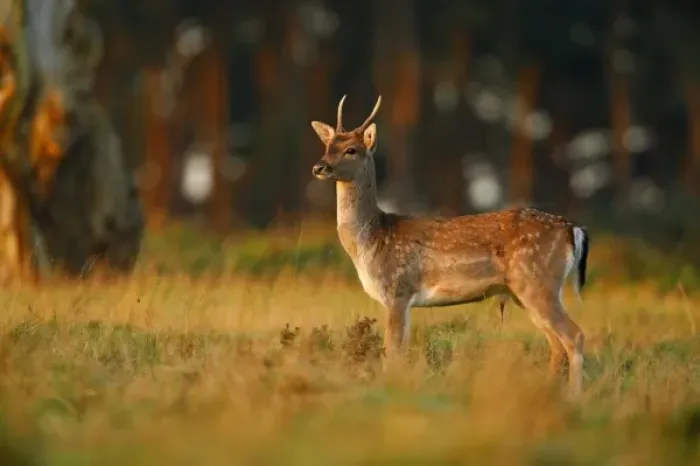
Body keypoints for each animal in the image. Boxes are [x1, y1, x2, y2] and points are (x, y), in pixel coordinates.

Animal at [310, 95, 590, 396]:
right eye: (327, 146)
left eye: (351, 149)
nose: (319, 167)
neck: (370, 240)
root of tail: (573, 229)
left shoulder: (398, 290)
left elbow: (392, 353)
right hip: (525, 291)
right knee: (556, 345)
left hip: (538, 282)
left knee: (574, 336)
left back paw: (574, 398)